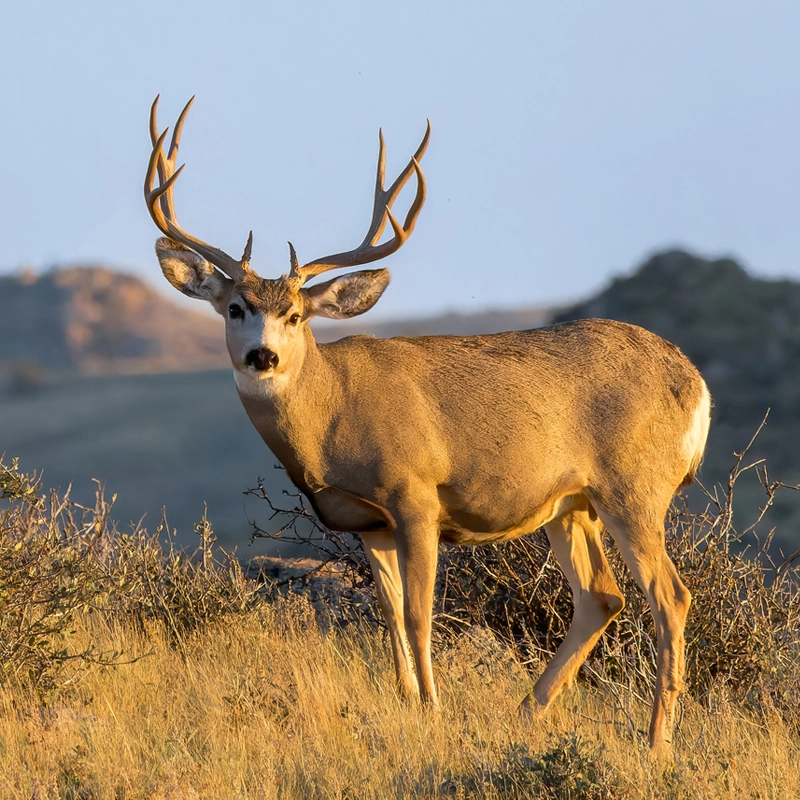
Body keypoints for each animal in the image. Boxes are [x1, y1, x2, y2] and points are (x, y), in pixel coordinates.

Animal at [145, 97, 712, 752]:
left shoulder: (415, 495)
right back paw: (527, 713)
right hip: (572, 503)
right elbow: (389, 615)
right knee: (602, 595)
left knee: (670, 597)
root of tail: (695, 383)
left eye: (295, 314)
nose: (262, 356)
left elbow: (419, 615)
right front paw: (408, 704)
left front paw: (434, 710)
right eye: (236, 308)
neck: (332, 418)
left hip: (633, 486)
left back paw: (656, 741)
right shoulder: (368, 523)